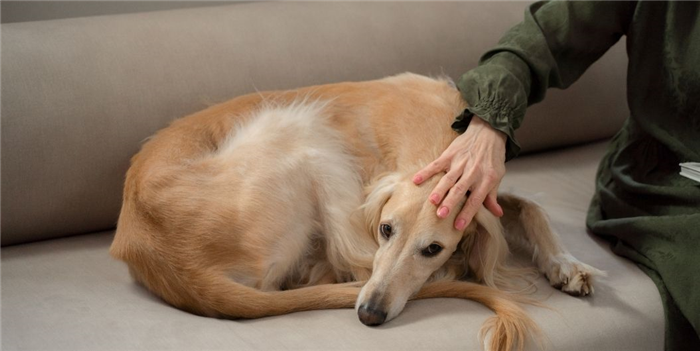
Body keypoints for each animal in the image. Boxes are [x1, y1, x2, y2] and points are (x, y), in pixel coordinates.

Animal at [109, 73, 600, 351]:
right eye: (385, 229)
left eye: (432, 248)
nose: (369, 315)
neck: (434, 135)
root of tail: (168, 260)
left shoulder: (485, 193)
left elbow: (531, 208)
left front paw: (566, 263)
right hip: (299, 128)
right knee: (342, 265)